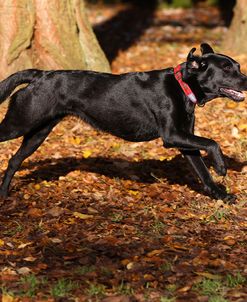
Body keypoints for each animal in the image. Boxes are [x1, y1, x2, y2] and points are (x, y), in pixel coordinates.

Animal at [0, 42, 245, 202]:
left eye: (238, 66)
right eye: (226, 68)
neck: (182, 85)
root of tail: (39, 75)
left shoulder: (185, 141)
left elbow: (203, 172)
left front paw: (222, 196)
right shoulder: (172, 135)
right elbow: (212, 142)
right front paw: (221, 166)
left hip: (38, 132)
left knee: (14, 161)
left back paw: (3, 195)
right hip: (19, 123)